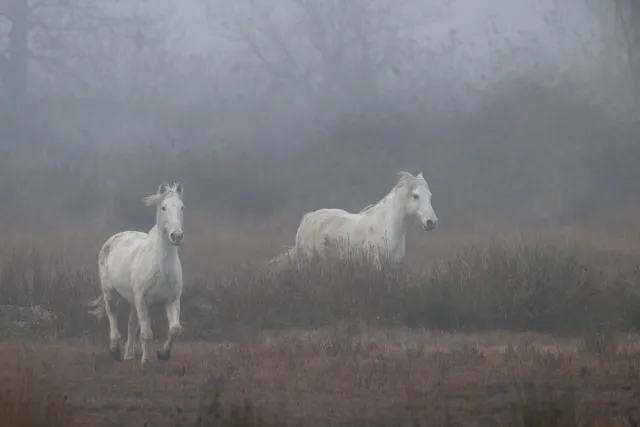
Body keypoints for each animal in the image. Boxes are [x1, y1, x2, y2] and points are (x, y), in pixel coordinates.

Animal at [87, 181, 185, 368]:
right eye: (163, 207)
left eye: (182, 207)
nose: (176, 236)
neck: (161, 267)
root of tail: (113, 238)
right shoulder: (142, 300)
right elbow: (146, 333)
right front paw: (146, 361)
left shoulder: (172, 300)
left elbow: (175, 329)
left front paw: (163, 354)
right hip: (110, 293)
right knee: (112, 316)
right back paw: (115, 351)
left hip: (133, 301)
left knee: (132, 325)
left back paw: (129, 355)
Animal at [268, 171, 438, 270]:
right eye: (415, 196)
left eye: (430, 195)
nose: (432, 222)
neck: (386, 227)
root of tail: (307, 218)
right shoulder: (375, 264)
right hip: (309, 262)